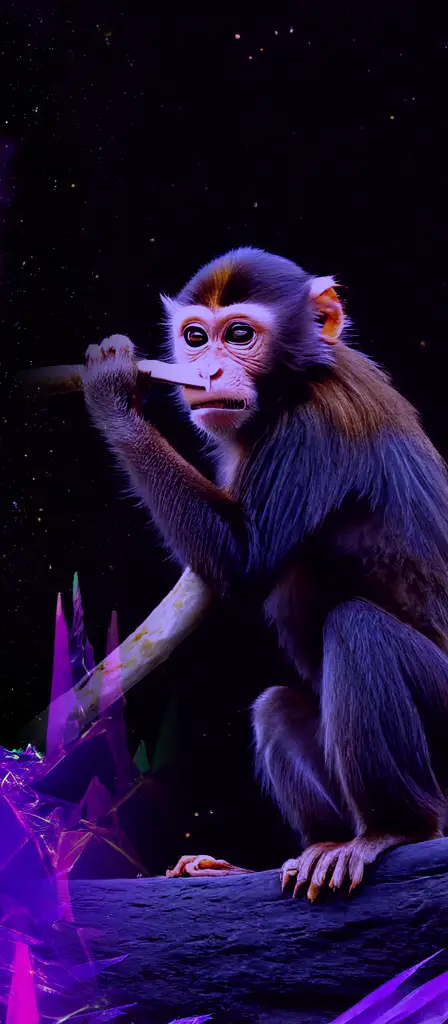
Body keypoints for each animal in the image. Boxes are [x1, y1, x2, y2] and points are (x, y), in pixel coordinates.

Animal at [82, 247, 448, 901]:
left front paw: (114, 394)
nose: (208, 372)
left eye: (240, 336)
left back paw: (394, 830)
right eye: (196, 338)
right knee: (275, 706)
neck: (293, 382)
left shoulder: (313, 428)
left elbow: (240, 561)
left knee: (359, 631)